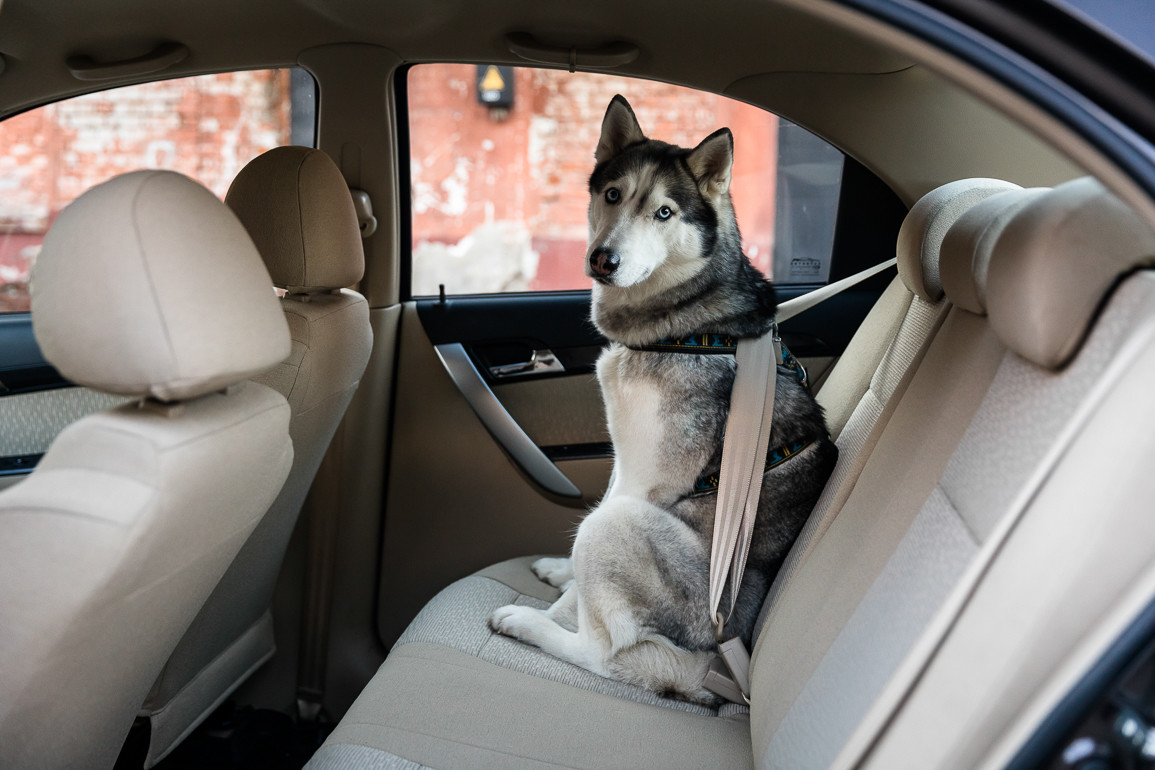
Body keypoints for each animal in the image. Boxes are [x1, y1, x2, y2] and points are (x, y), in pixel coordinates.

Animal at [489, 96, 840, 706]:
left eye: (664, 213)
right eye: (612, 195)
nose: (603, 260)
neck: (690, 323)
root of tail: (716, 670)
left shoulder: (644, 479)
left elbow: (583, 605)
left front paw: (554, 609)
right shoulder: (623, 458)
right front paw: (563, 574)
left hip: (621, 527)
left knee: (603, 653)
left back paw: (528, 624)